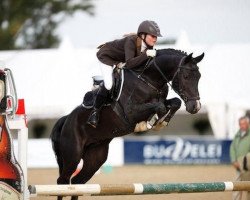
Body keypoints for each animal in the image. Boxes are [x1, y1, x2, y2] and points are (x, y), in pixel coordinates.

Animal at [50, 48, 203, 200]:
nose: (195, 107)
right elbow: (160, 107)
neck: (149, 80)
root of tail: (66, 119)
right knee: (63, 181)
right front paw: (150, 123)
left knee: (77, 183)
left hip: (95, 157)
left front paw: (160, 122)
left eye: (199, 77)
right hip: (73, 155)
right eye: (186, 76)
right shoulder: (130, 112)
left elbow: (175, 102)